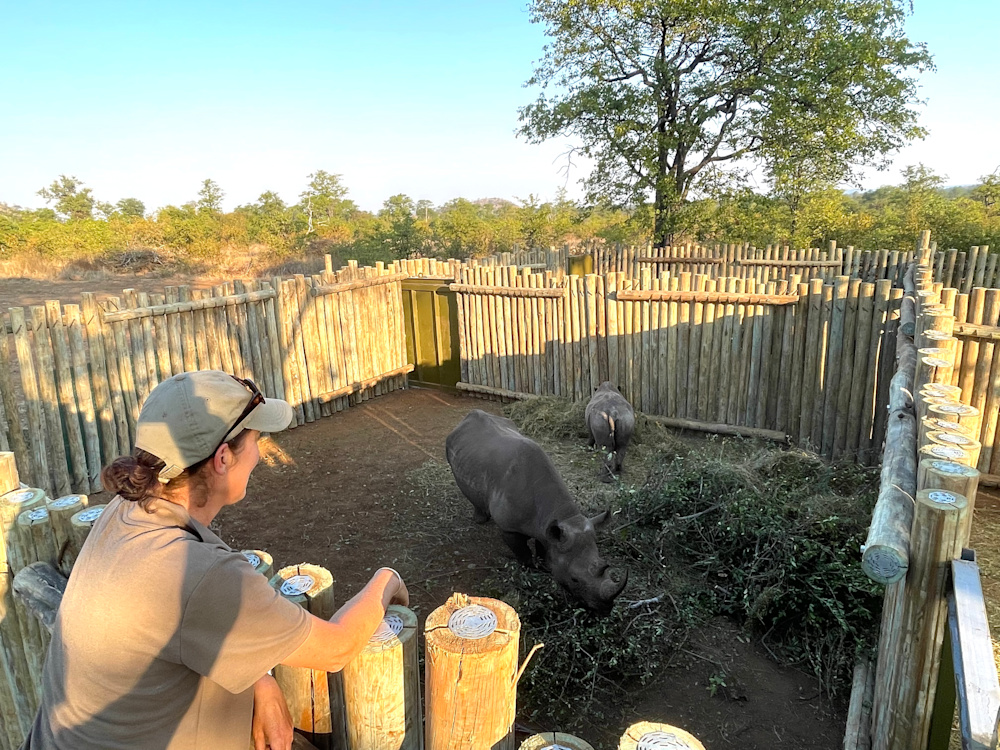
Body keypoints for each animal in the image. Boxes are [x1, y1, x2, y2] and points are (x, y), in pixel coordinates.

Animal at [445, 409, 627, 613]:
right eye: (574, 579)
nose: (605, 609)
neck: (563, 515)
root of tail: (465, 419)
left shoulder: (549, 528)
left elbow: (543, 545)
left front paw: (545, 565)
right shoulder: (510, 528)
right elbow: (522, 551)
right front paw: (530, 569)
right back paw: (480, 519)